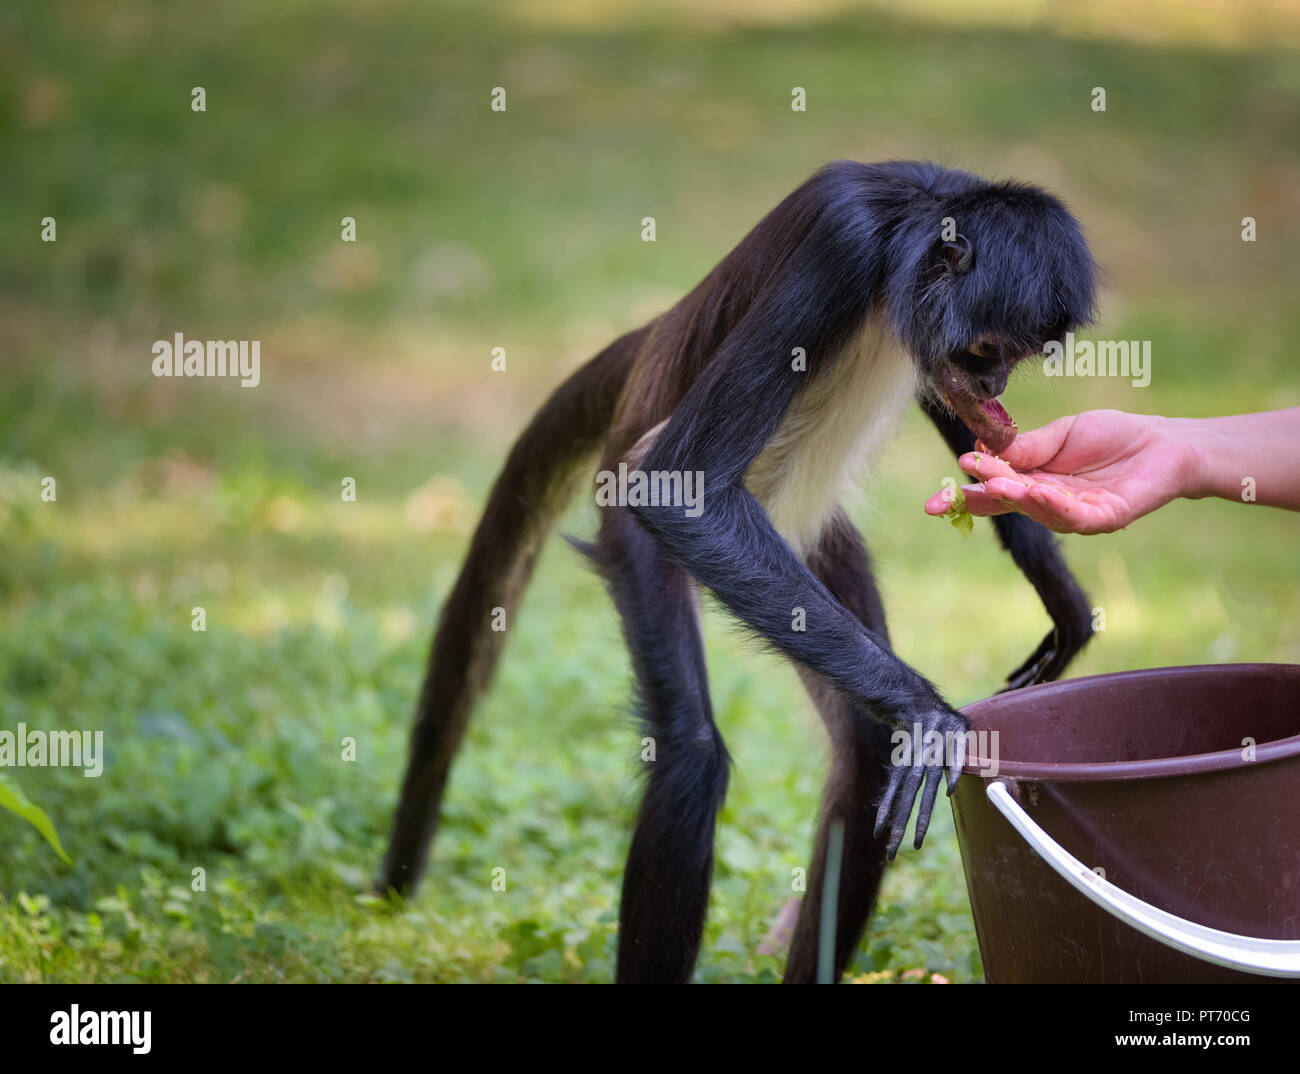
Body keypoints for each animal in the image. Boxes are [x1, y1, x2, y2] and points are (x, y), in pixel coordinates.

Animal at [377, 156, 1097, 977]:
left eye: (1014, 358)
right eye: (986, 351)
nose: (997, 387)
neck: (904, 224)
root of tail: (653, 336)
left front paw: (1051, 579)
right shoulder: (841, 247)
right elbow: (677, 487)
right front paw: (928, 714)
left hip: (806, 545)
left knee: (865, 752)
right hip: (639, 534)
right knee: (690, 758)